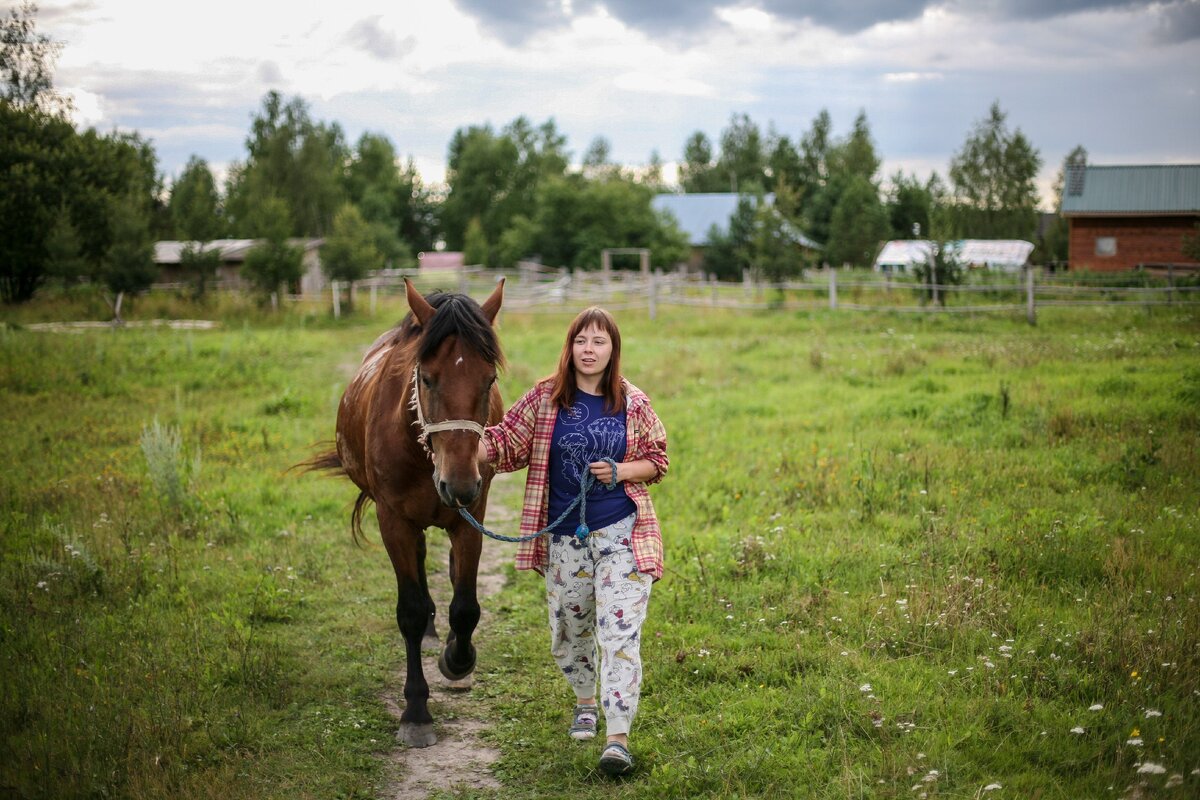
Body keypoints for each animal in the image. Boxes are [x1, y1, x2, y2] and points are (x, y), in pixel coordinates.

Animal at [312, 278, 504, 748]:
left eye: (489, 379)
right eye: (428, 379)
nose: (459, 483)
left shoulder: (472, 516)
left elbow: (466, 606)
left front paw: (458, 661)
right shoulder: (393, 522)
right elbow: (411, 612)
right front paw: (416, 712)